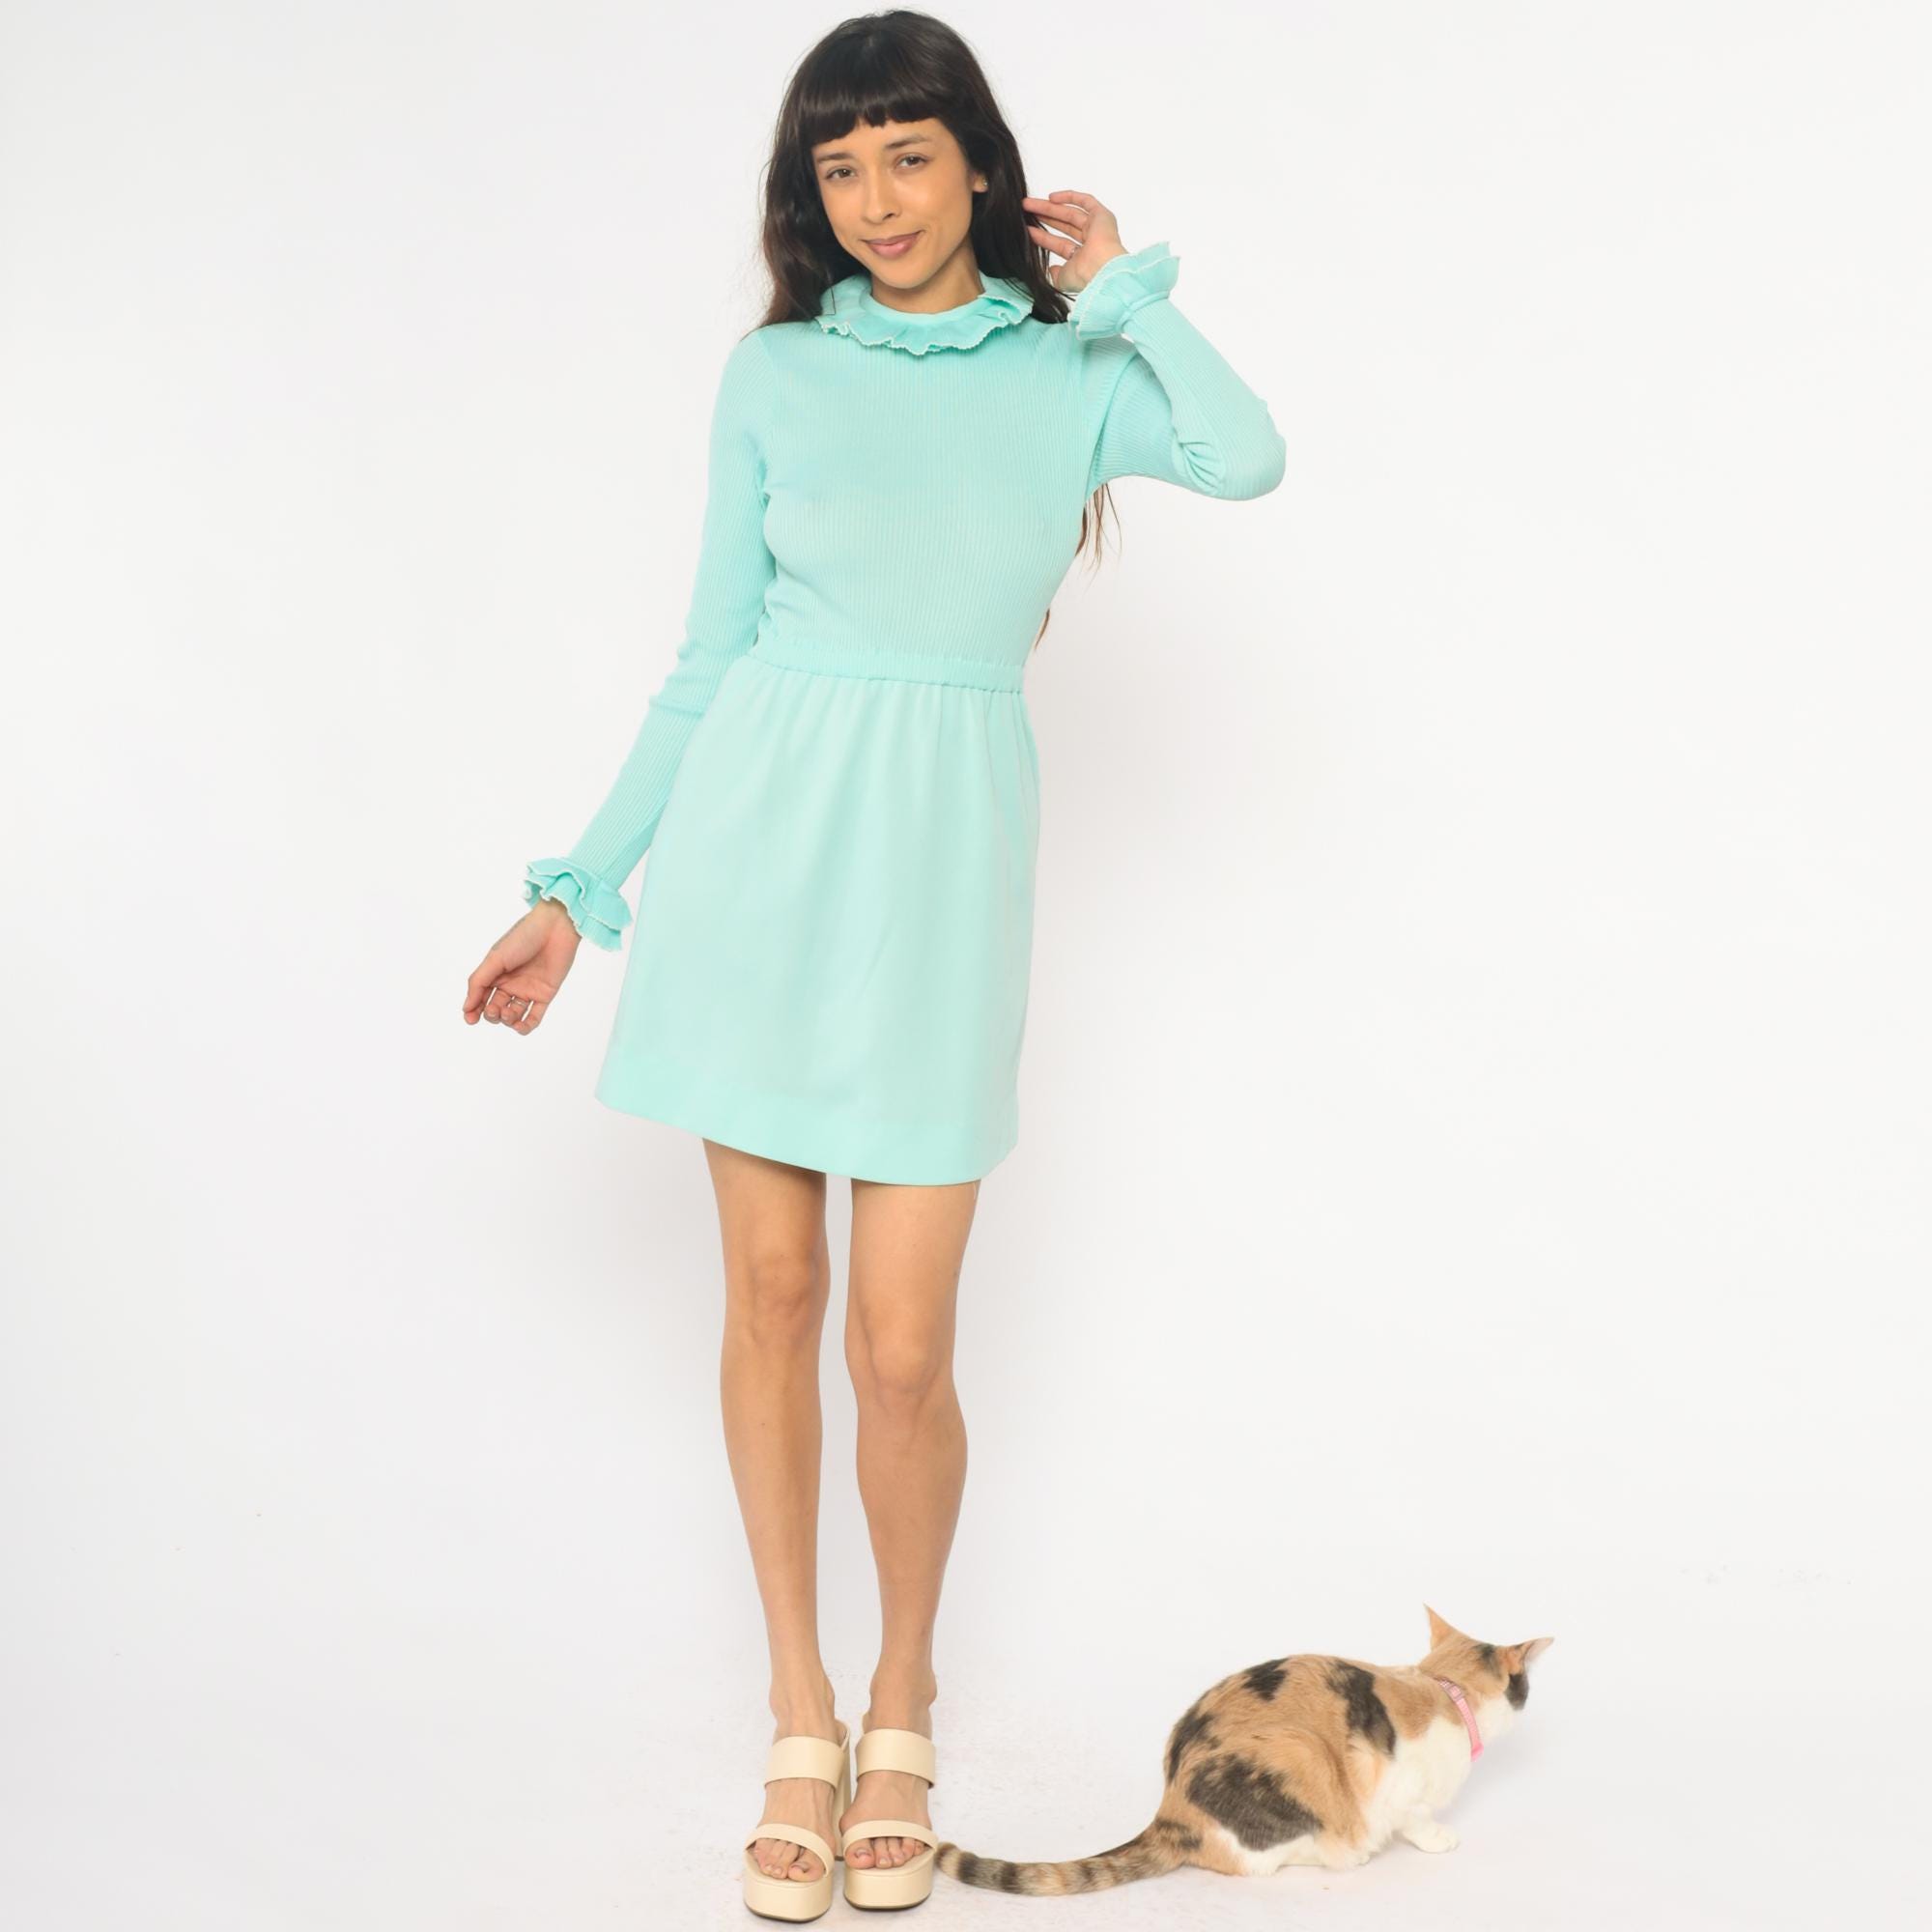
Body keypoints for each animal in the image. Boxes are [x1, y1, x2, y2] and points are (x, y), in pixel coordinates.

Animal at [935, 1606, 1552, 1893]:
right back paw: (1345, 1854)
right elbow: (1417, 1820)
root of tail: (1170, 1813)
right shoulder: (1403, 1788)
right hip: (1299, 1759)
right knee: (1264, 1859)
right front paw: (1438, 1839)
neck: (1444, 1690)